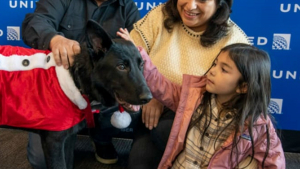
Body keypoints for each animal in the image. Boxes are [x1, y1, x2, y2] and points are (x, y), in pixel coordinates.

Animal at [0, 20, 151, 169]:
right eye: (121, 67)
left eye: (141, 65)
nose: (148, 98)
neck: (77, 78)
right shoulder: (54, 142)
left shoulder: (68, 138)